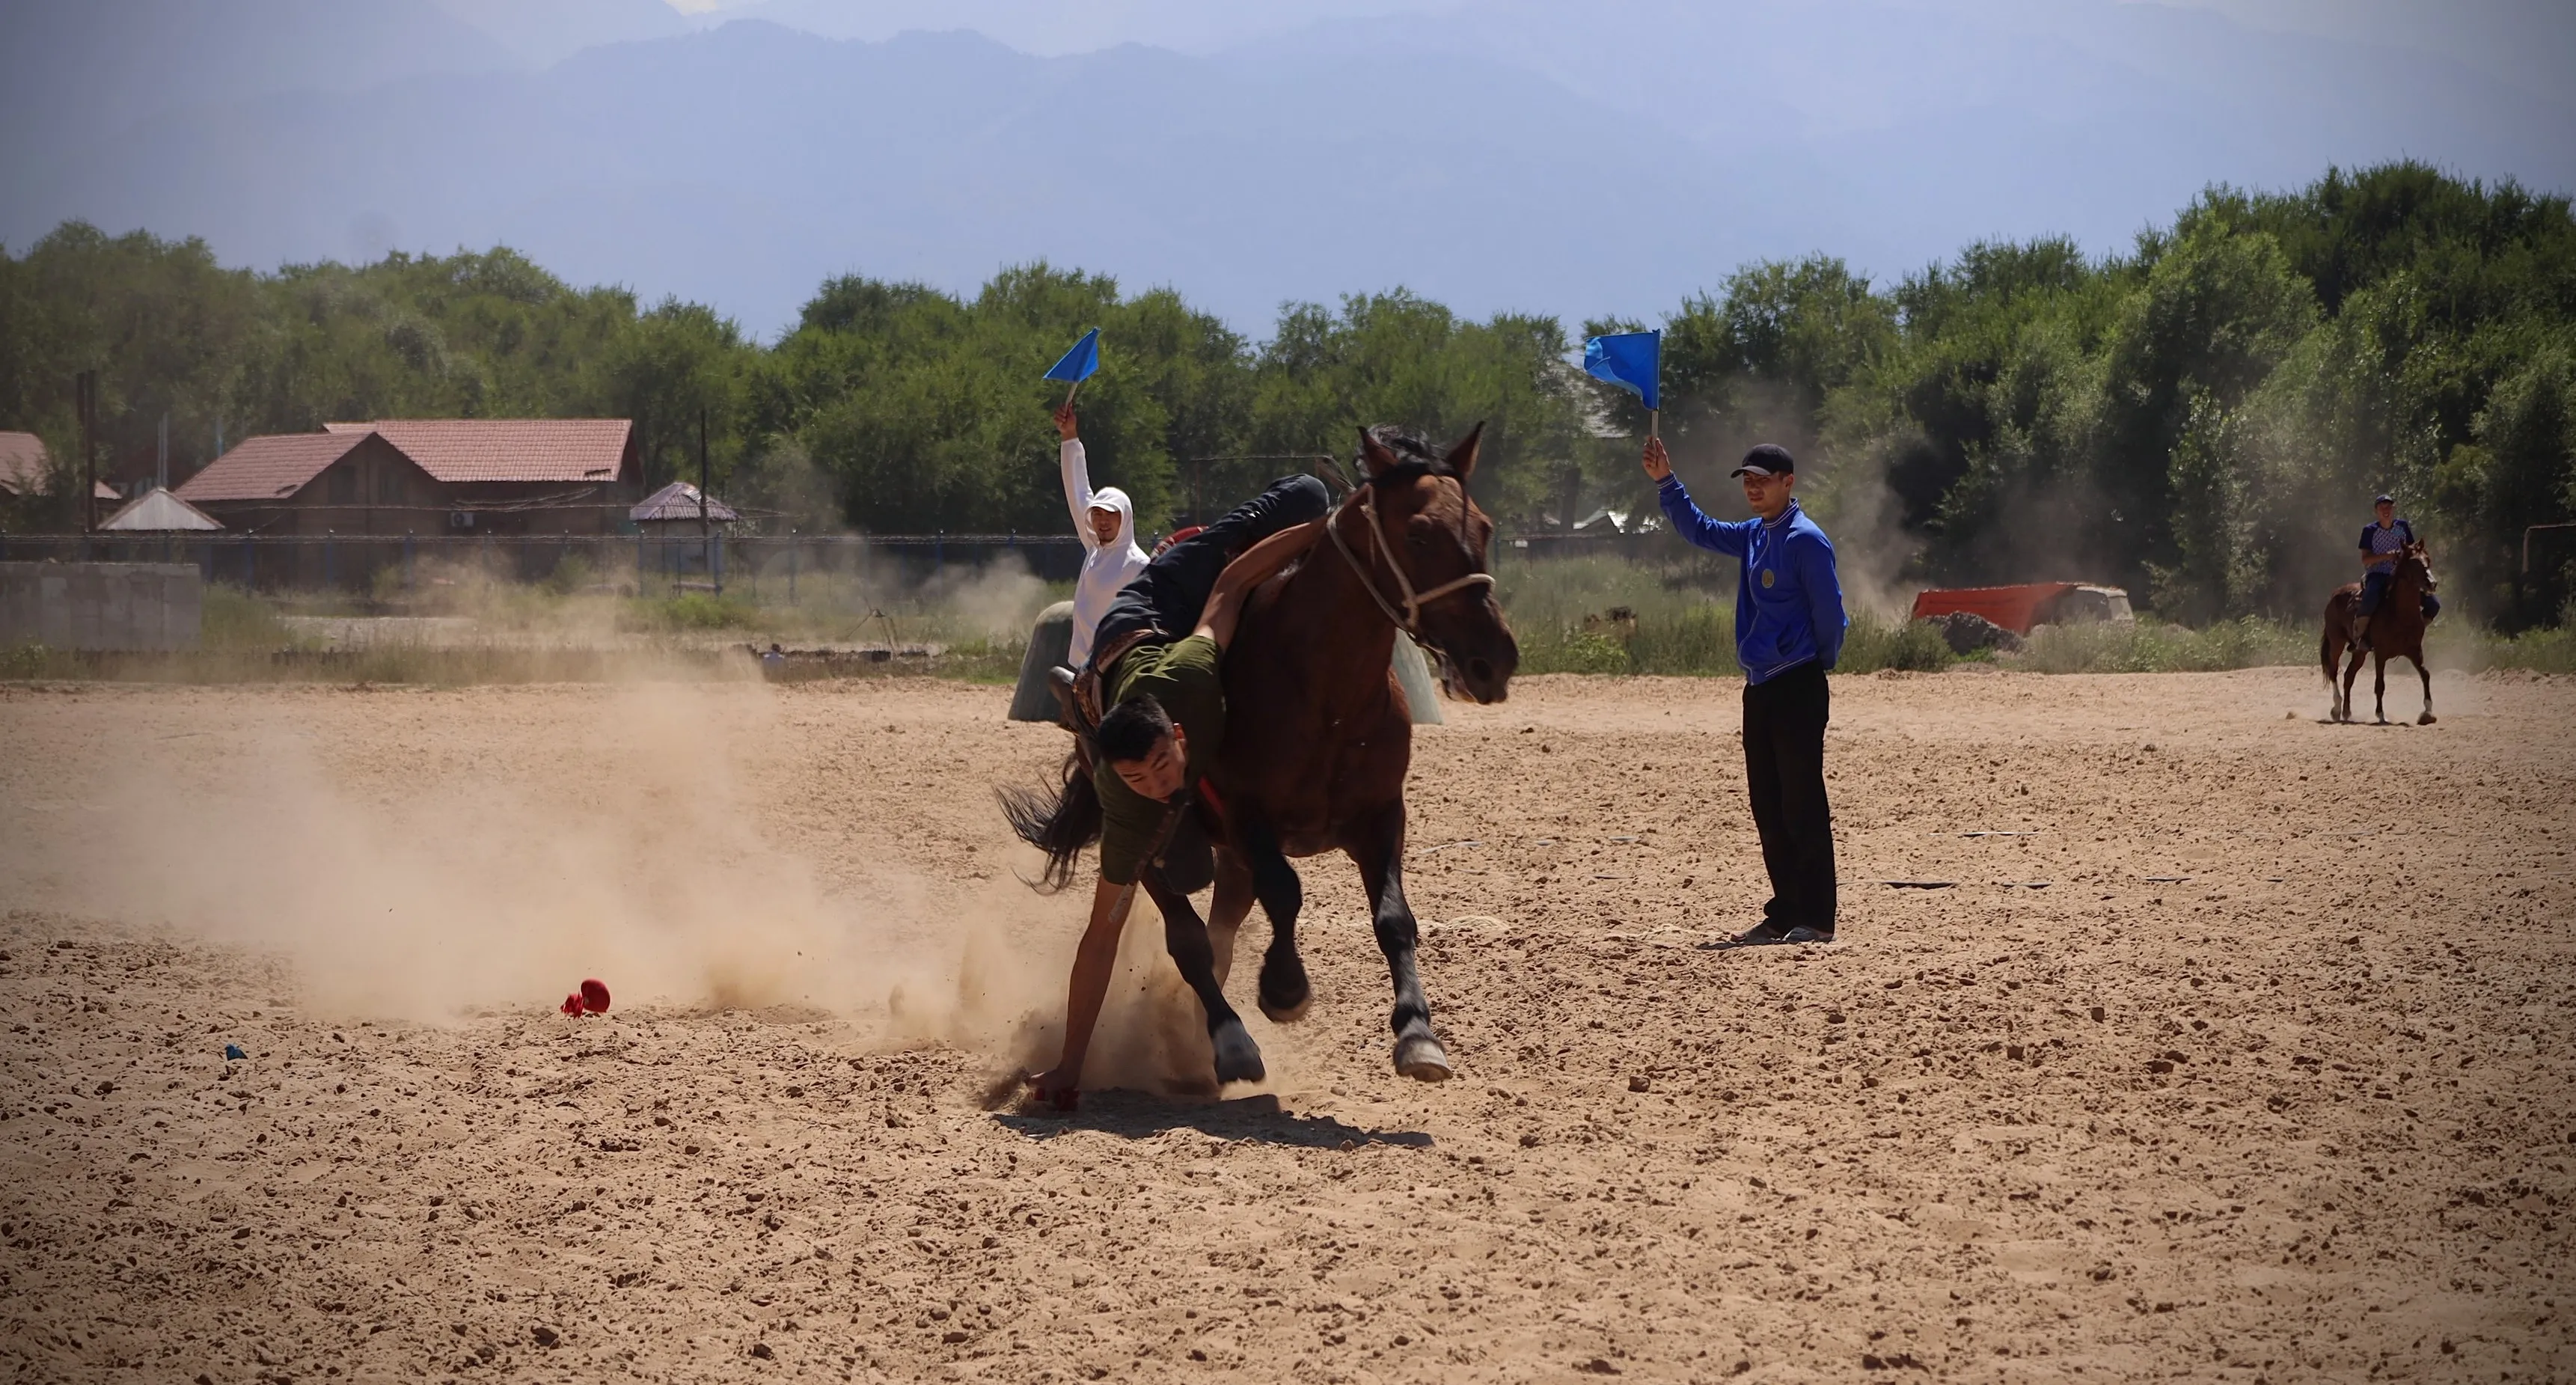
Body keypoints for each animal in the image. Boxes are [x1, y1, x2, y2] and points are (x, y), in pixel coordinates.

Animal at [2328, 540, 2441, 726]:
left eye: (2428, 559)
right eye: (2413, 562)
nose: (2432, 584)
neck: (2400, 614)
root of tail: (2335, 594)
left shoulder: (2415, 651)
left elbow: (2425, 675)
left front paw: (2428, 712)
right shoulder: (2381, 654)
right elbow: (2380, 684)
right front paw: (2381, 715)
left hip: (2360, 652)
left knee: (2348, 676)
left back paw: (2347, 712)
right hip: (2336, 642)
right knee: (2333, 671)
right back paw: (2337, 709)